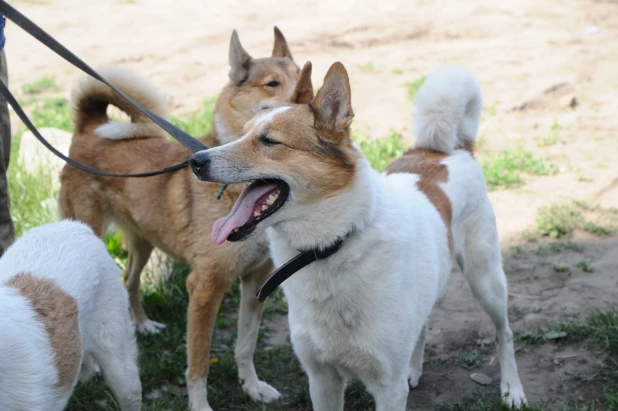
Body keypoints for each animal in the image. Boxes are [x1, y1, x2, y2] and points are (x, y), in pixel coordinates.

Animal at [59, 28, 300, 411]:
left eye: (303, 74)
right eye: (272, 84)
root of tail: (90, 129)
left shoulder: (255, 281)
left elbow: (245, 346)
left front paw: (253, 387)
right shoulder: (203, 289)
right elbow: (198, 364)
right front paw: (200, 405)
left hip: (143, 239)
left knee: (129, 280)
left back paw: (144, 325)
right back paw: (92, 366)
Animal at [191, 62, 524, 410]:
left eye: (269, 141)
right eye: (243, 133)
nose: (195, 161)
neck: (331, 245)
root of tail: (445, 151)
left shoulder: (388, 389)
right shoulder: (321, 378)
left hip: (486, 279)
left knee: (505, 333)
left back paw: (512, 389)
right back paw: (414, 369)